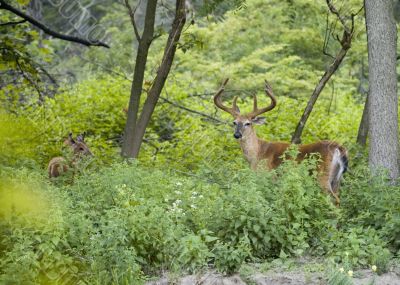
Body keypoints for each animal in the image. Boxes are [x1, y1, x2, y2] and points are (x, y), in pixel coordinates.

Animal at [212, 79, 346, 205]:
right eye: (234, 122)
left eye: (248, 123)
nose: (237, 135)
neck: (258, 154)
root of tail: (338, 148)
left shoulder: (267, 176)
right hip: (336, 180)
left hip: (322, 176)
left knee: (335, 200)